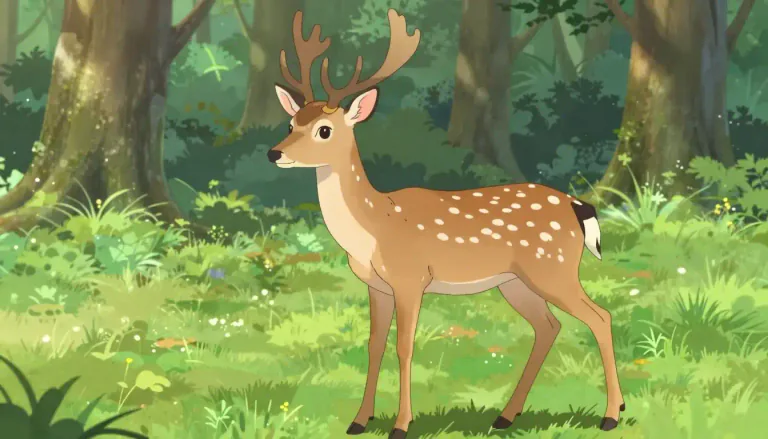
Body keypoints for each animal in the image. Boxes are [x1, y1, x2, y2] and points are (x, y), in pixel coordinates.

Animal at [267, 9, 625, 439]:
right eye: (291, 123)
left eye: (325, 129)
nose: (274, 153)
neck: (374, 226)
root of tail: (576, 206)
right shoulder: (376, 286)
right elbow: (374, 344)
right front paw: (358, 421)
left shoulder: (410, 279)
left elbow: (404, 346)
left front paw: (401, 425)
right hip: (516, 282)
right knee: (549, 327)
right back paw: (506, 416)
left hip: (553, 268)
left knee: (600, 317)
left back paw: (611, 415)